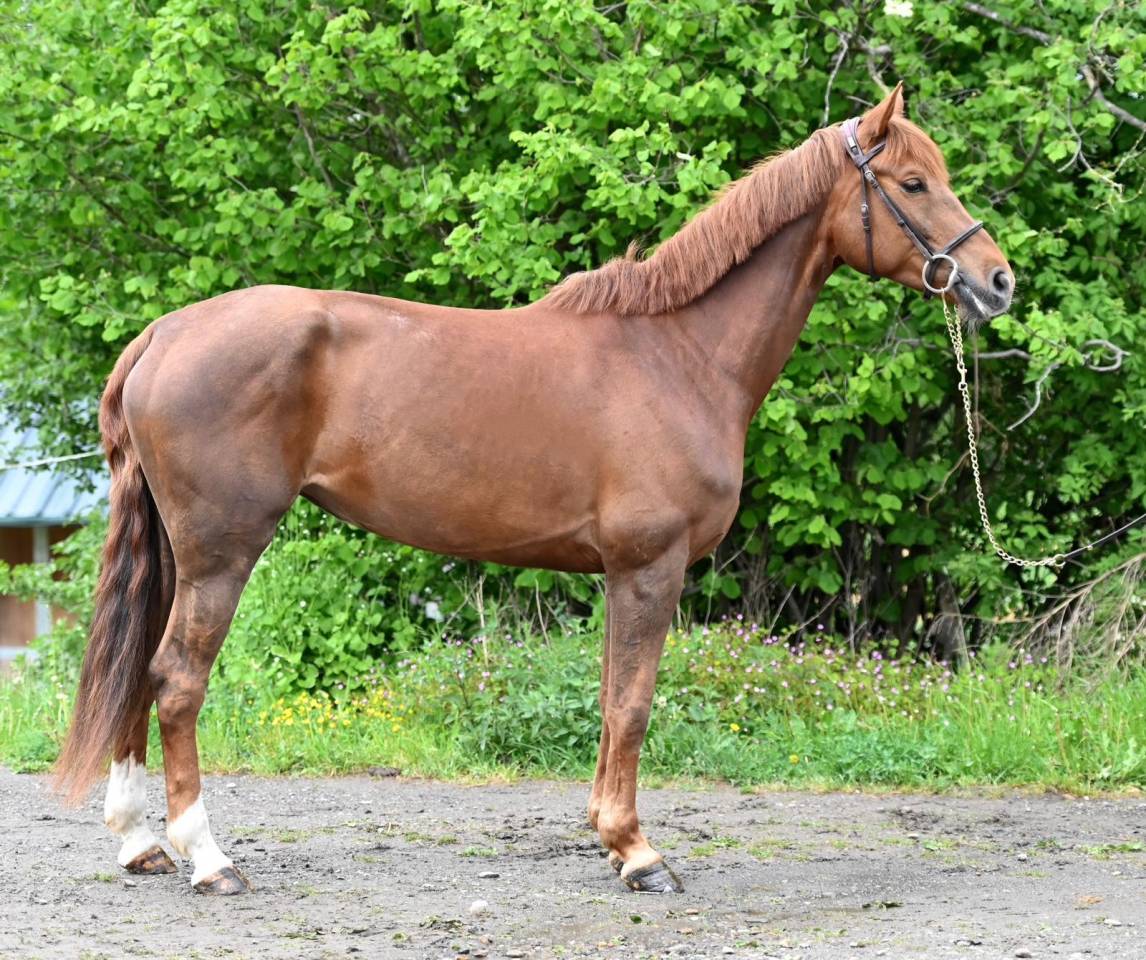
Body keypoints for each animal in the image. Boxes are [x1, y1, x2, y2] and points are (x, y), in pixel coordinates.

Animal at [56, 83, 1013, 895]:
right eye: (914, 183)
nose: (997, 281)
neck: (678, 355)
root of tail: (164, 334)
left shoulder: (621, 575)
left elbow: (611, 700)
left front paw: (613, 838)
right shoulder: (648, 568)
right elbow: (632, 705)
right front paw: (637, 852)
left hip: (177, 555)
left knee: (139, 671)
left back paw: (139, 843)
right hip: (223, 552)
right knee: (177, 679)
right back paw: (207, 858)